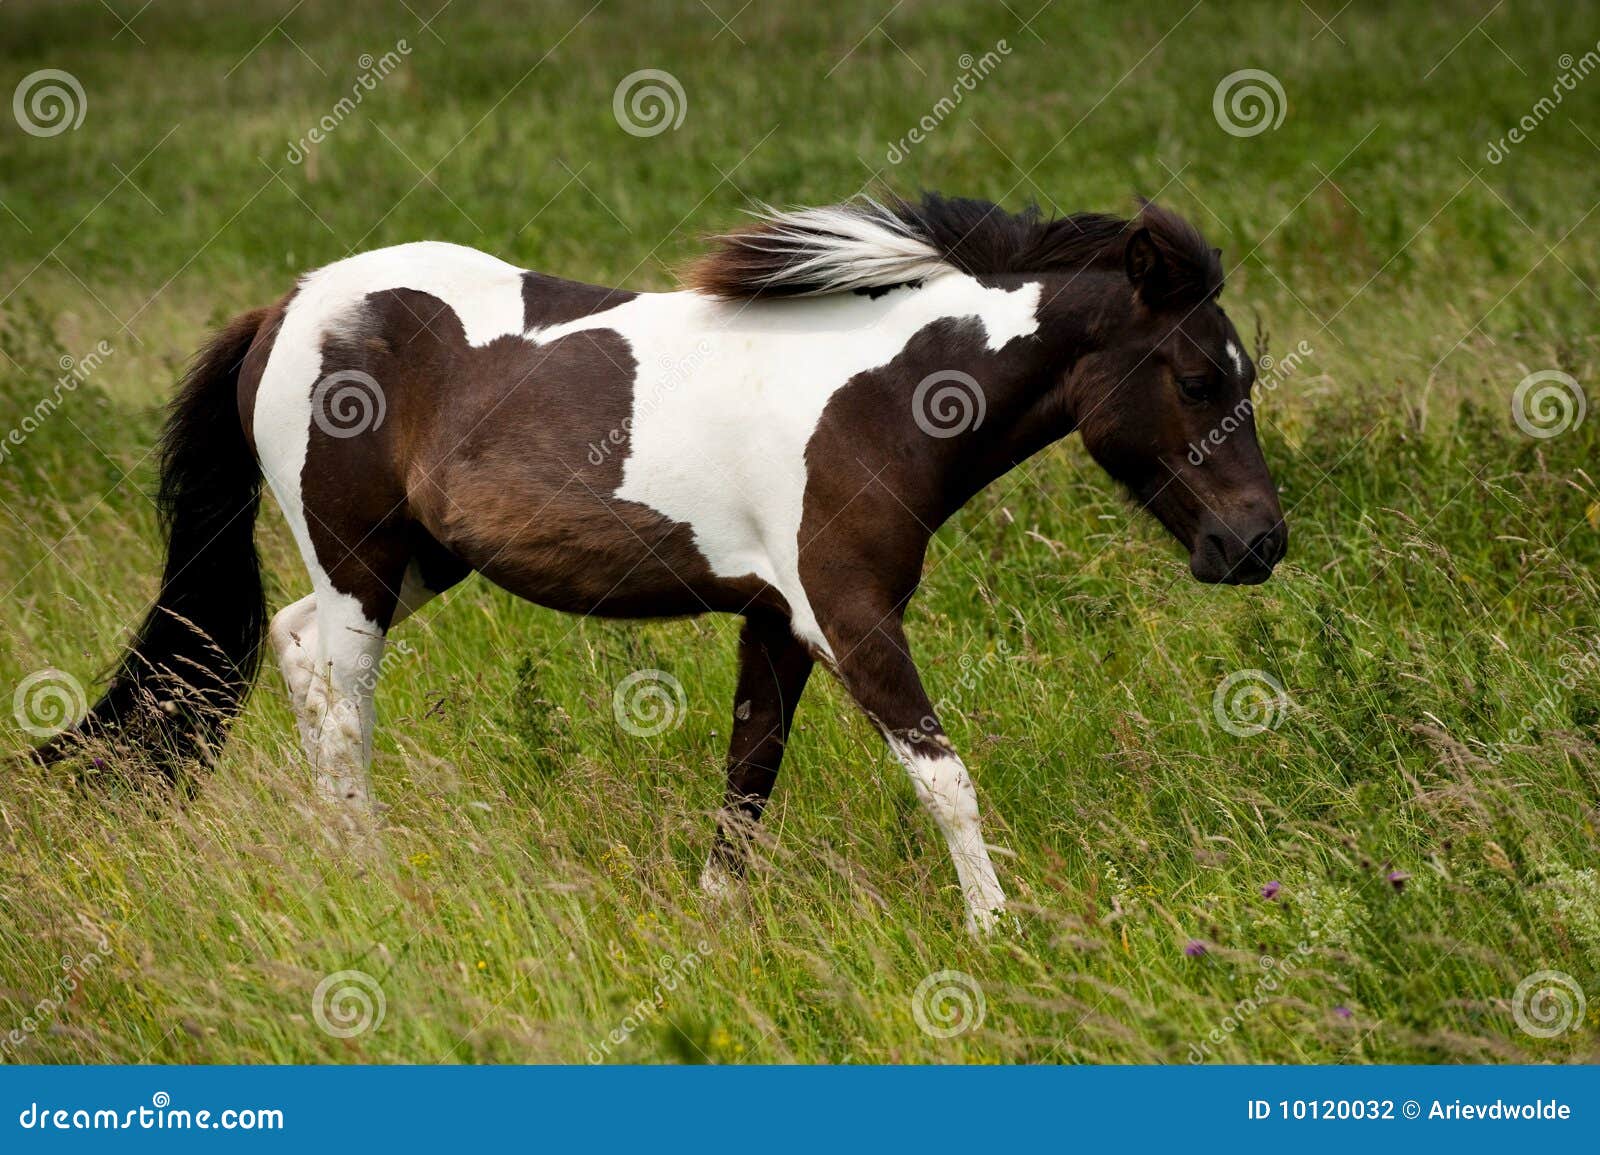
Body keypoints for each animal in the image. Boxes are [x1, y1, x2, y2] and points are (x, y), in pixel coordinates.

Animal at [36, 193, 1287, 934]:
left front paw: (715, 922)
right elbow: (941, 774)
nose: (1256, 545)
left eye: (1244, 372)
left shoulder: (775, 622)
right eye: (1195, 378)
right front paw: (994, 931)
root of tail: (289, 305)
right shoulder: (847, 616)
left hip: (414, 564)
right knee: (342, 703)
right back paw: (375, 881)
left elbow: (749, 778)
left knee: (295, 652)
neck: (878, 399)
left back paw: (346, 859)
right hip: (359, 563)